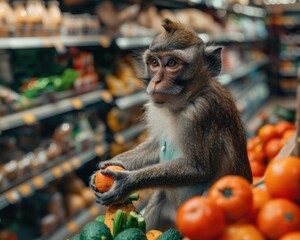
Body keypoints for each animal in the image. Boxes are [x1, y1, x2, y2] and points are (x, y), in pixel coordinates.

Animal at [89, 18, 253, 231]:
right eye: (154, 63)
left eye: (172, 63)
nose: (156, 81)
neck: (185, 102)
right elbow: (154, 146)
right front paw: (112, 162)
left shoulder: (201, 113)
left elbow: (198, 168)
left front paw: (127, 183)